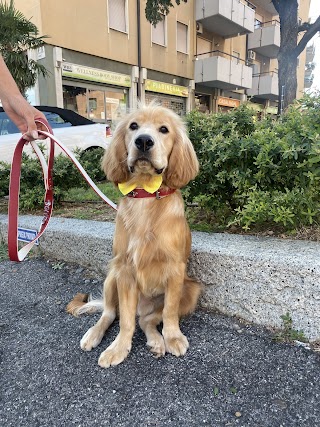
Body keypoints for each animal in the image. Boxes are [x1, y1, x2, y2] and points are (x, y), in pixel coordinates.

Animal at [67, 104, 202, 368]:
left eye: (164, 129)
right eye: (133, 126)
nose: (144, 141)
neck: (146, 194)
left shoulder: (175, 270)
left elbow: (169, 312)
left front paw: (173, 337)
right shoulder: (126, 270)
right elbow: (125, 321)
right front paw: (118, 348)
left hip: (190, 290)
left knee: (146, 320)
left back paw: (157, 341)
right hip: (112, 277)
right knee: (111, 313)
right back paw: (94, 334)